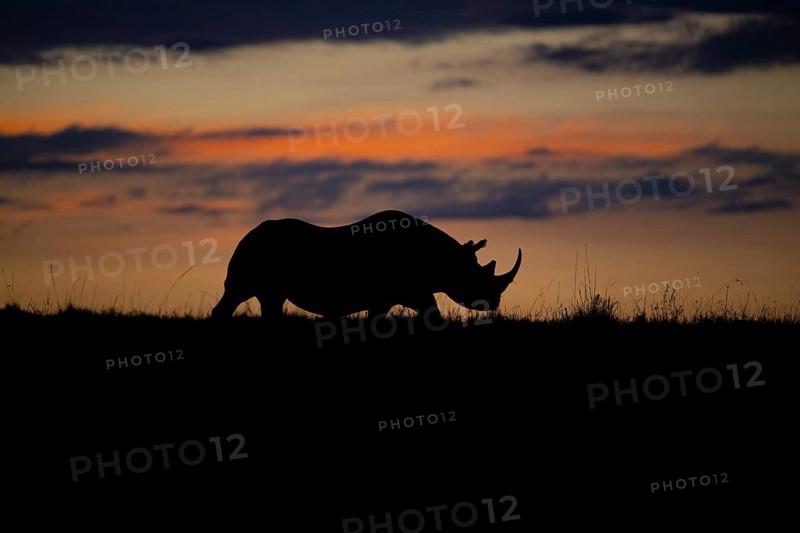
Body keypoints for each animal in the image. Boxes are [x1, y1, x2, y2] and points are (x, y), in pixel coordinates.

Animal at [211, 210, 522, 319]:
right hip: (252, 253)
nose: (494, 302)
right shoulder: (407, 291)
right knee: (237, 293)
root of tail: (247, 234)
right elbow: (432, 313)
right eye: (477, 279)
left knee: (270, 300)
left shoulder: (395, 295)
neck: (447, 259)